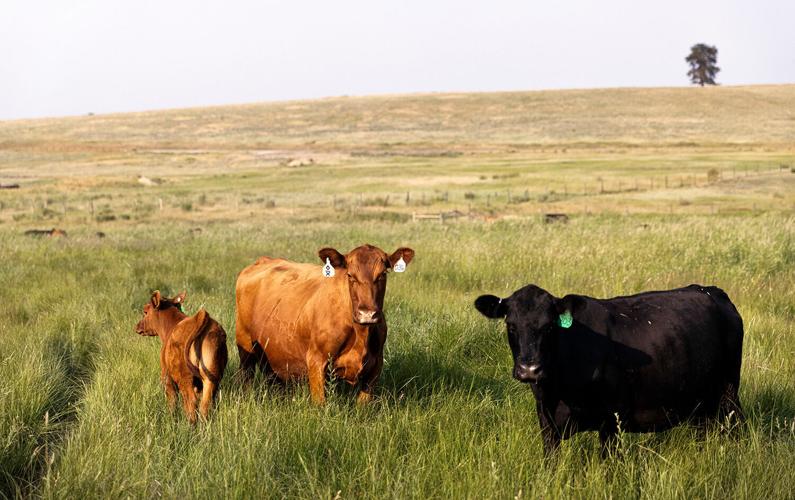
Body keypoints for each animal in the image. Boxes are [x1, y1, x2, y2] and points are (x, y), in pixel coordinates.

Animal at [135, 291, 228, 423]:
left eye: (145, 311)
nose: (137, 326)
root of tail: (200, 316)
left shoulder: (167, 376)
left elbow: (172, 401)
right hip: (211, 377)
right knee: (205, 403)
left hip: (184, 377)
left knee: (190, 401)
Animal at [235, 244, 415, 404]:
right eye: (350, 275)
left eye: (383, 274)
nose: (367, 314)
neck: (361, 333)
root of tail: (264, 260)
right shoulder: (316, 361)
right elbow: (320, 404)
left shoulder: (375, 366)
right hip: (245, 345)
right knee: (246, 378)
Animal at [474, 284, 744, 456]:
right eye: (511, 325)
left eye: (550, 326)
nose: (530, 369)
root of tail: (711, 290)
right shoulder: (546, 422)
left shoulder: (612, 419)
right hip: (699, 401)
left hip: (729, 391)